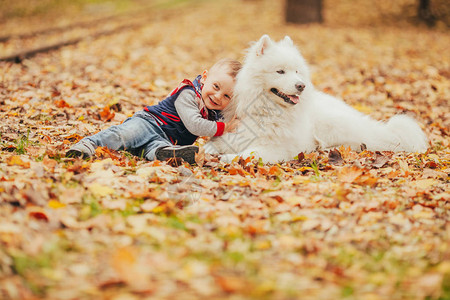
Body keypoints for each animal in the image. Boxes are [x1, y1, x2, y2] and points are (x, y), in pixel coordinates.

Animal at [206, 35, 428, 163]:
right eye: (280, 71)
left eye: (297, 71)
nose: (301, 86)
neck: (265, 111)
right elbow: (219, 141)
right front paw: (210, 148)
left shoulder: (276, 148)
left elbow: (247, 154)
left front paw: (227, 157)